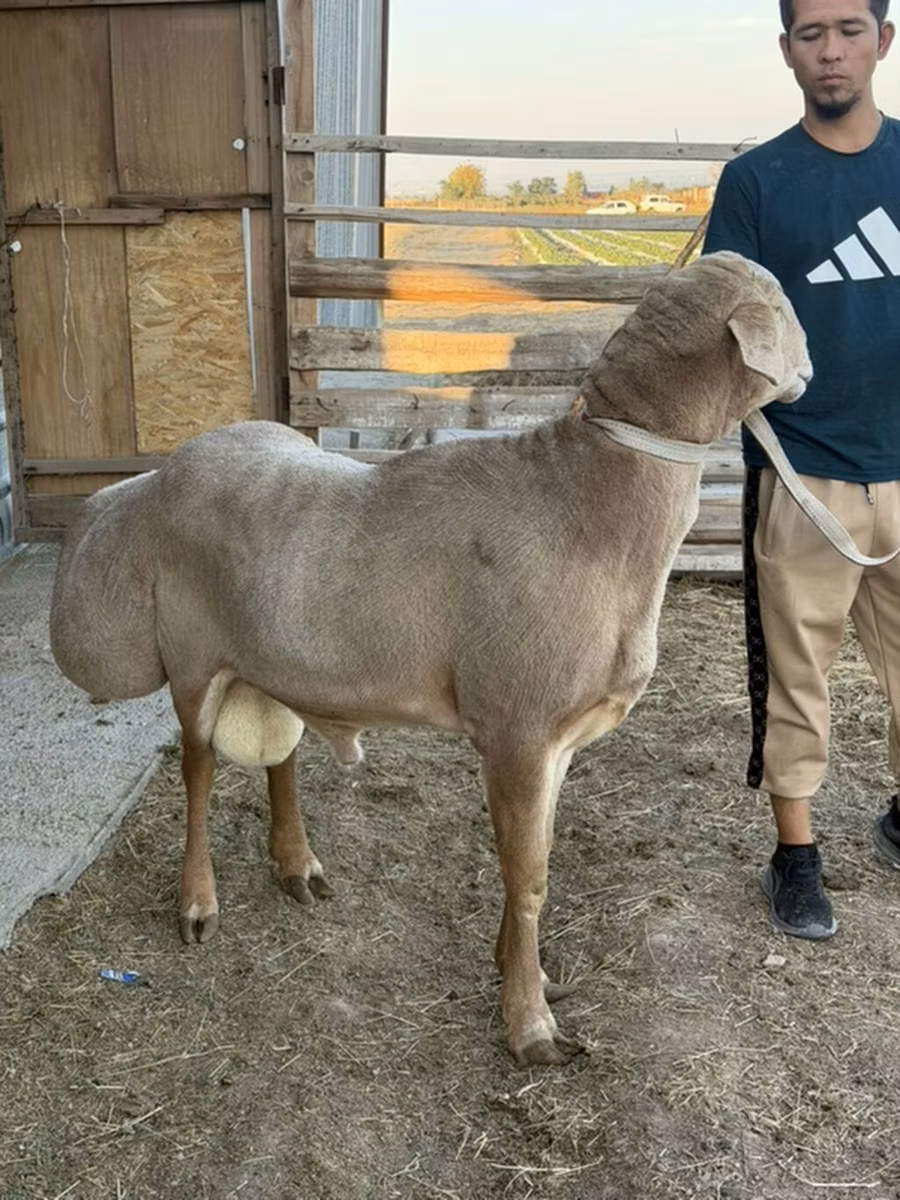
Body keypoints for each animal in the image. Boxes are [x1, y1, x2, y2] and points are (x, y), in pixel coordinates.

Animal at [50, 251, 812, 1066]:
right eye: (786, 305)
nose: (812, 370)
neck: (589, 508)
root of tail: (164, 472)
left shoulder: (556, 740)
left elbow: (533, 865)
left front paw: (523, 976)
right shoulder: (517, 730)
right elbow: (528, 876)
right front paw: (530, 1026)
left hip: (274, 658)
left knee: (280, 756)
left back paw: (298, 866)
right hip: (194, 657)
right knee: (196, 772)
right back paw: (198, 902)